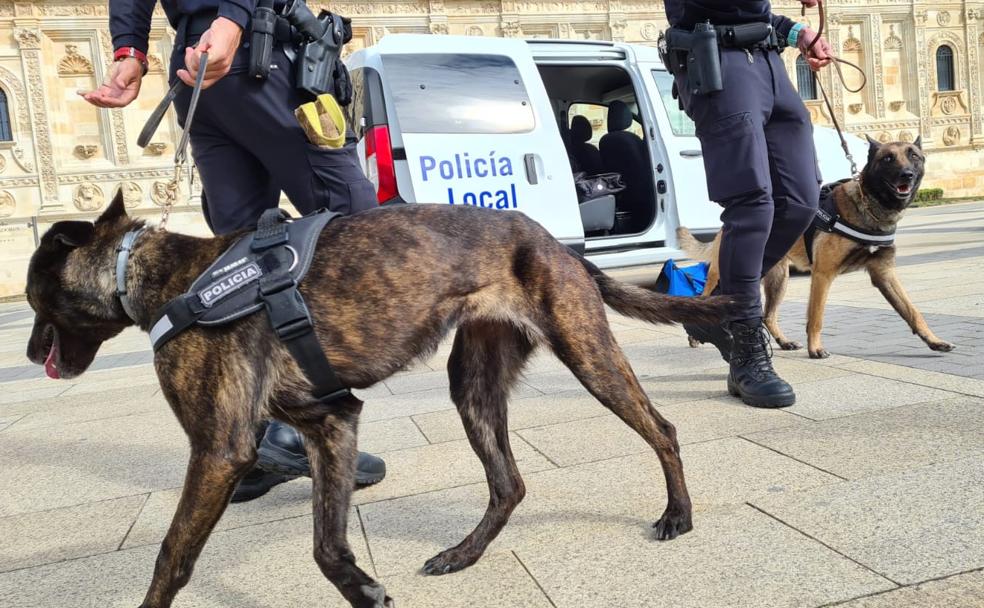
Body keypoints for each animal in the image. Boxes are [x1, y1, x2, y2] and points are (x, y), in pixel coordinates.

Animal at [23, 195, 736, 608]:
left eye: (30, 298)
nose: (29, 355)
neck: (157, 276)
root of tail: (555, 243)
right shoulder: (330, 422)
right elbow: (327, 546)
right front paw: (366, 592)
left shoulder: (220, 451)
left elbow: (172, 555)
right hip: (473, 383)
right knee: (508, 484)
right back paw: (462, 554)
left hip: (586, 353)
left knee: (663, 429)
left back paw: (677, 514)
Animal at [676, 136, 952, 358]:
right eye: (887, 158)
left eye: (913, 156)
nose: (906, 174)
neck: (870, 208)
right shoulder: (822, 275)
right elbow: (816, 318)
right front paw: (815, 349)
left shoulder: (885, 275)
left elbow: (912, 311)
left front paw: (934, 341)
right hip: (731, 273)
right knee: (705, 298)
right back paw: (697, 333)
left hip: (777, 279)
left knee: (768, 315)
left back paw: (783, 342)